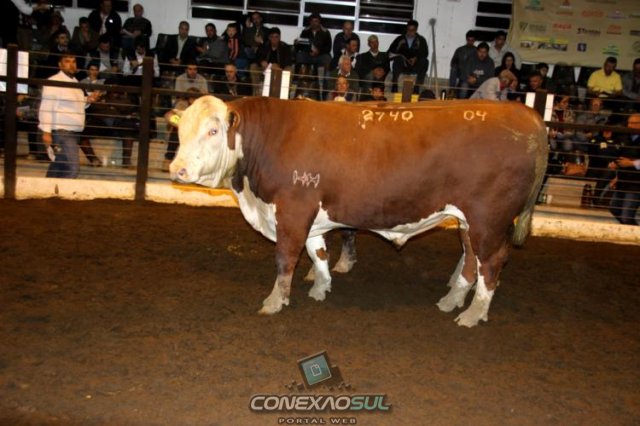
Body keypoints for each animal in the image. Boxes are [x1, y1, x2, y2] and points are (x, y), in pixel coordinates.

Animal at [170, 96, 548, 327]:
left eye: (213, 130)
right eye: (181, 130)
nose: (178, 169)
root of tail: (526, 114)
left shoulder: (293, 209)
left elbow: (286, 258)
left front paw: (275, 301)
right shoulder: (312, 212)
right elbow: (318, 250)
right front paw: (322, 286)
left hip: (489, 218)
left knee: (491, 262)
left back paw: (473, 313)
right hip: (469, 220)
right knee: (471, 258)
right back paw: (452, 299)